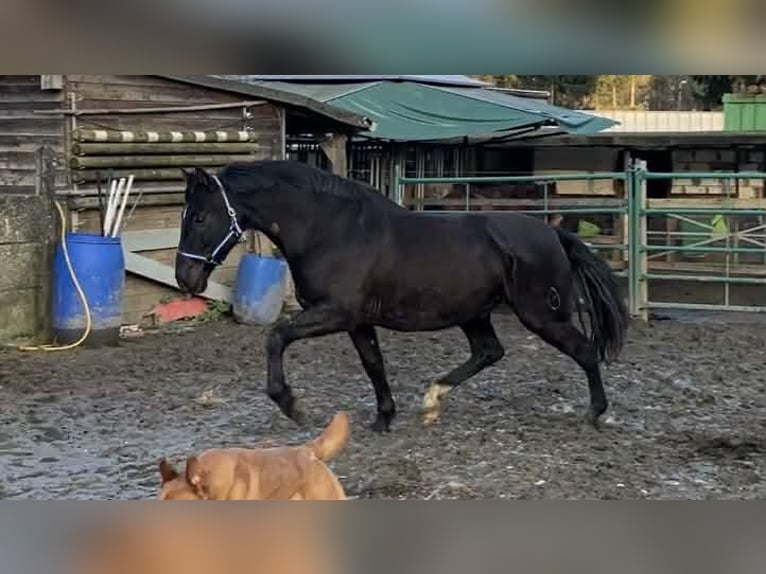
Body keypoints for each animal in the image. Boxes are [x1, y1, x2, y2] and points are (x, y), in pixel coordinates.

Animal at [175, 161, 629, 433]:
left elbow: (276, 336)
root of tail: (554, 233)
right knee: (488, 351)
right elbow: (373, 365)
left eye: (199, 217)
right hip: (474, 313)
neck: (331, 231)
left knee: (584, 351)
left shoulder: (335, 313)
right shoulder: (357, 321)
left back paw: (594, 413)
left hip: (541, 315)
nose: (185, 278)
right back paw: (432, 398)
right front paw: (383, 419)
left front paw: (292, 406)